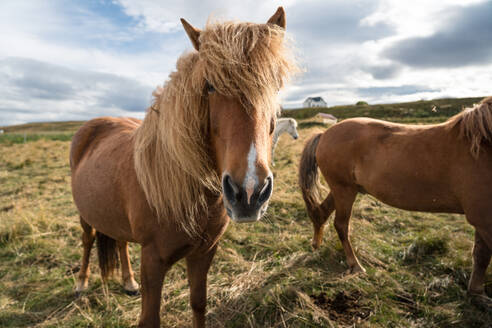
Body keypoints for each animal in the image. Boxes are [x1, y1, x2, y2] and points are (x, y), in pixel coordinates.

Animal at [70, 8, 296, 328]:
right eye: (210, 85)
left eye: (276, 84)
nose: (250, 192)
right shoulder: (153, 261)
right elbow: (150, 319)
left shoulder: (204, 252)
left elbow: (198, 304)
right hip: (85, 215)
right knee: (88, 240)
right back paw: (80, 283)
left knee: (121, 243)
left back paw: (128, 283)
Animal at [298, 96, 492, 300]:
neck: (483, 145)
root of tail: (324, 134)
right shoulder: (484, 220)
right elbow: (483, 255)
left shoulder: (481, 222)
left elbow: (481, 256)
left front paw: (477, 293)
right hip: (344, 190)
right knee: (341, 225)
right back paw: (356, 265)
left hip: (343, 190)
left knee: (320, 213)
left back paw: (317, 244)